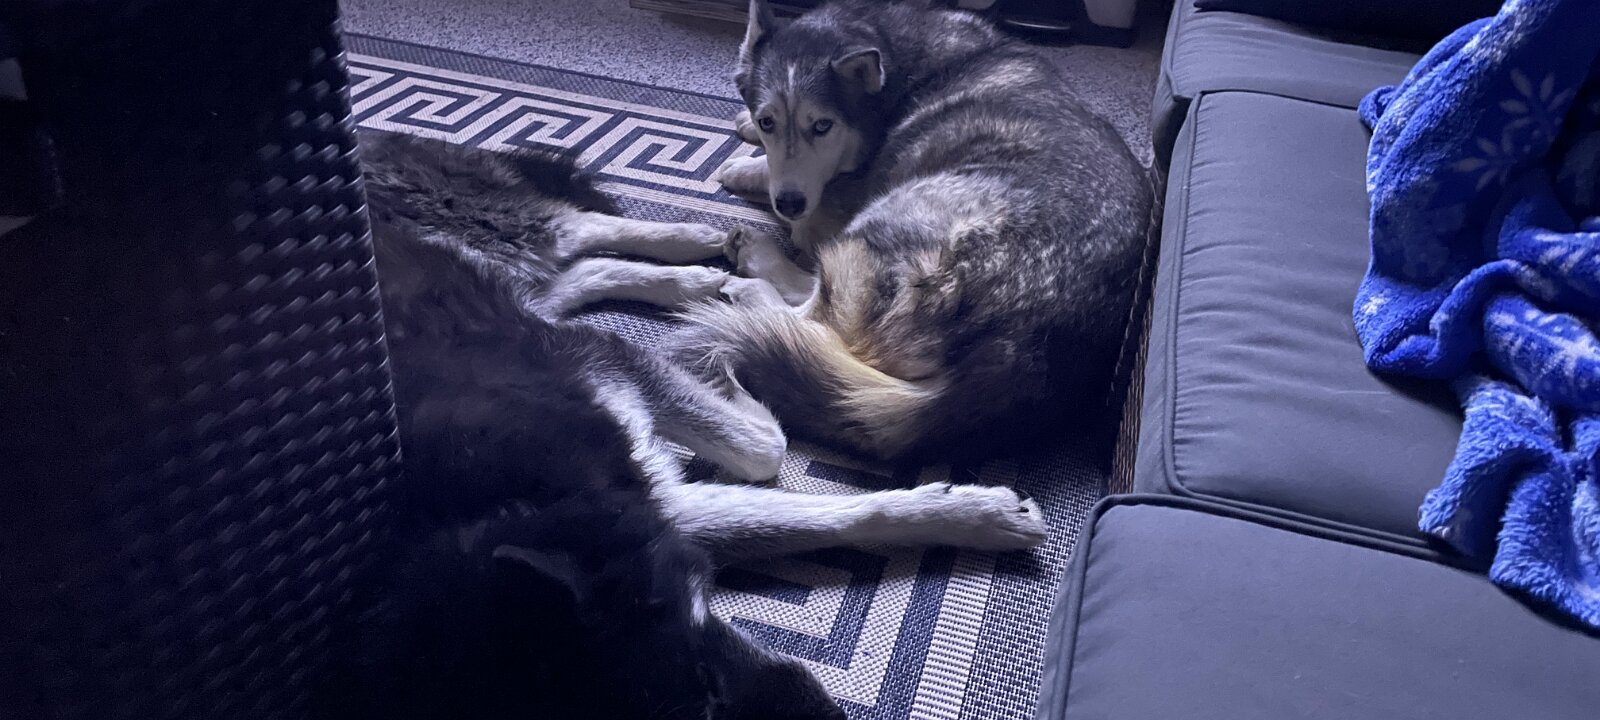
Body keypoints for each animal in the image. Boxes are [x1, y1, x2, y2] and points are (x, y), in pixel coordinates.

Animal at [318, 133, 1048, 720]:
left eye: (707, 679)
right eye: (701, 699)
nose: (830, 714)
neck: (498, 505)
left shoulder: (606, 368)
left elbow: (763, 449)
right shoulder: (646, 499)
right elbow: (812, 505)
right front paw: (973, 516)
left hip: (492, 229)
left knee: (579, 232)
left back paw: (701, 251)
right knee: (576, 272)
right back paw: (695, 280)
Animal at [671, 0, 1153, 463]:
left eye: (822, 125)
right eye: (769, 121)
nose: (788, 203)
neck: (897, 65)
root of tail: (1024, 346)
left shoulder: (827, 206)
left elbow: (803, 219)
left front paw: (746, 171)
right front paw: (746, 130)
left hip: (882, 220)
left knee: (809, 317)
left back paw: (752, 274)